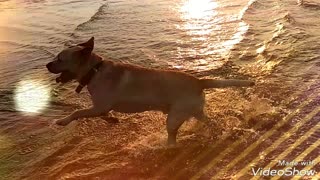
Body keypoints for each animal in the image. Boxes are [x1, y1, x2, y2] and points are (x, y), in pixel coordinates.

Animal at [45, 37, 255, 146]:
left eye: (60, 59)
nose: (47, 65)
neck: (93, 70)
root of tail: (199, 81)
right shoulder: (100, 107)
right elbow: (103, 115)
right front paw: (113, 120)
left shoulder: (99, 106)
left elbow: (77, 112)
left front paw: (63, 121)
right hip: (194, 111)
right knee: (210, 122)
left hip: (174, 117)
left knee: (172, 138)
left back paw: (164, 147)